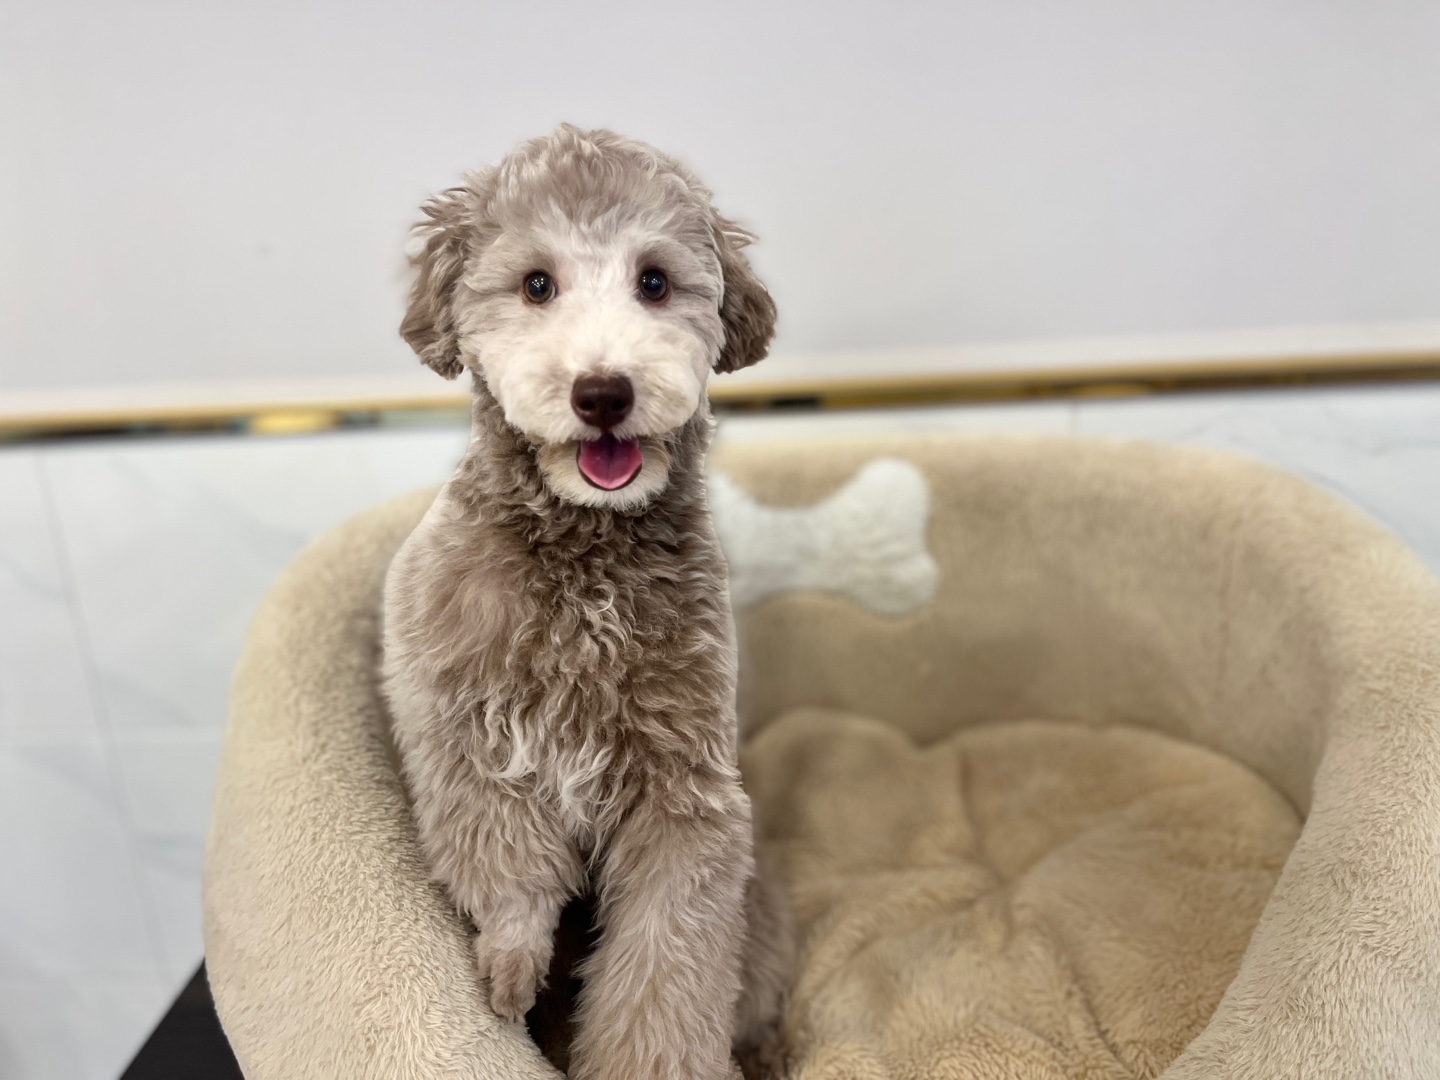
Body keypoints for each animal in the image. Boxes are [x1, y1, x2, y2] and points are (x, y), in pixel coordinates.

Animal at [381, 125, 789, 1080]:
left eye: (655, 281)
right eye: (537, 284)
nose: (603, 392)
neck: (585, 560)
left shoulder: (684, 802)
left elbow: (665, 983)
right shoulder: (468, 742)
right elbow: (511, 871)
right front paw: (509, 973)